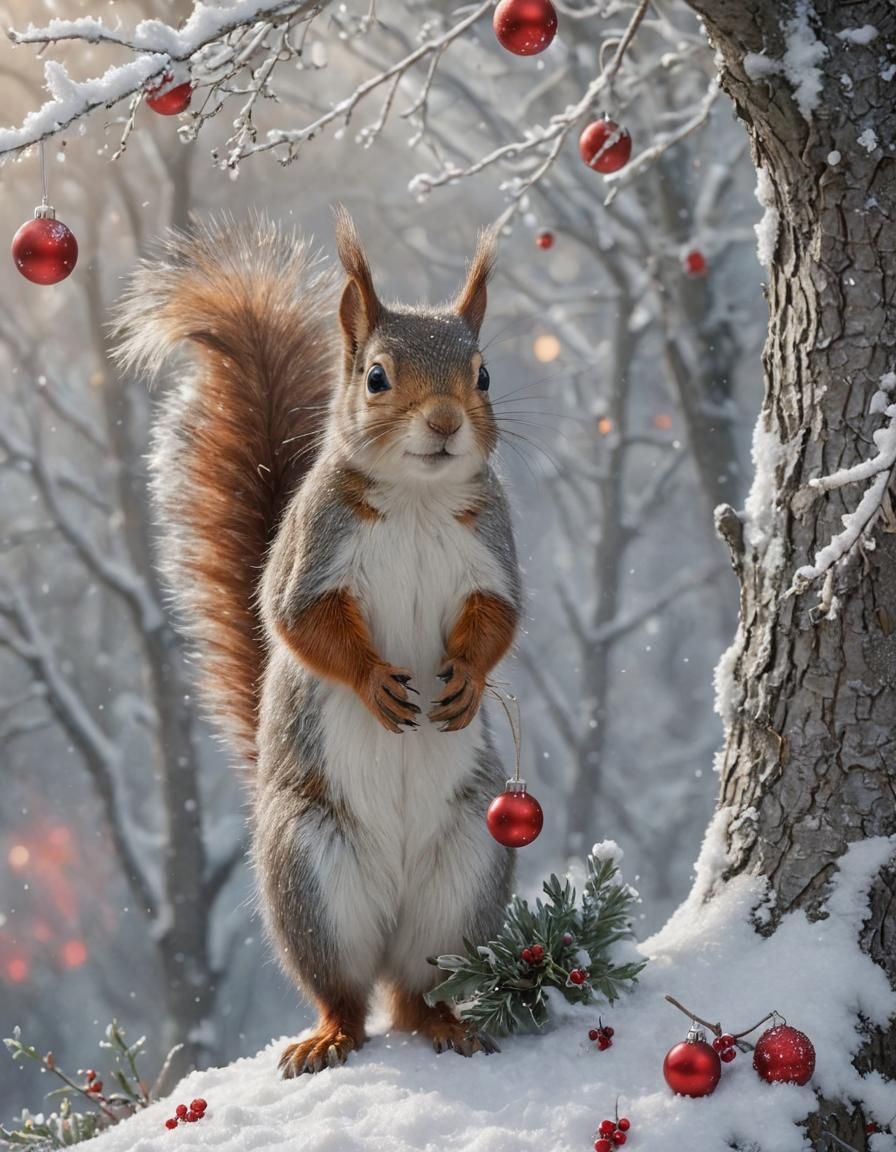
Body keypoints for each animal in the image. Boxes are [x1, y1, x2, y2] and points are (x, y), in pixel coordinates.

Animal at [114, 209, 521, 1077]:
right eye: (376, 377)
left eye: (483, 376)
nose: (444, 423)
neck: (417, 498)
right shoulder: (310, 555)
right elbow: (297, 625)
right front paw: (373, 681)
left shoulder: (496, 557)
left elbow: (501, 622)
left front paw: (467, 679)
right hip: (309, 873)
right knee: (346, 995)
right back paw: (329, 1035)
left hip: (469, 868)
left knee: (415, 991)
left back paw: (445, 1021)